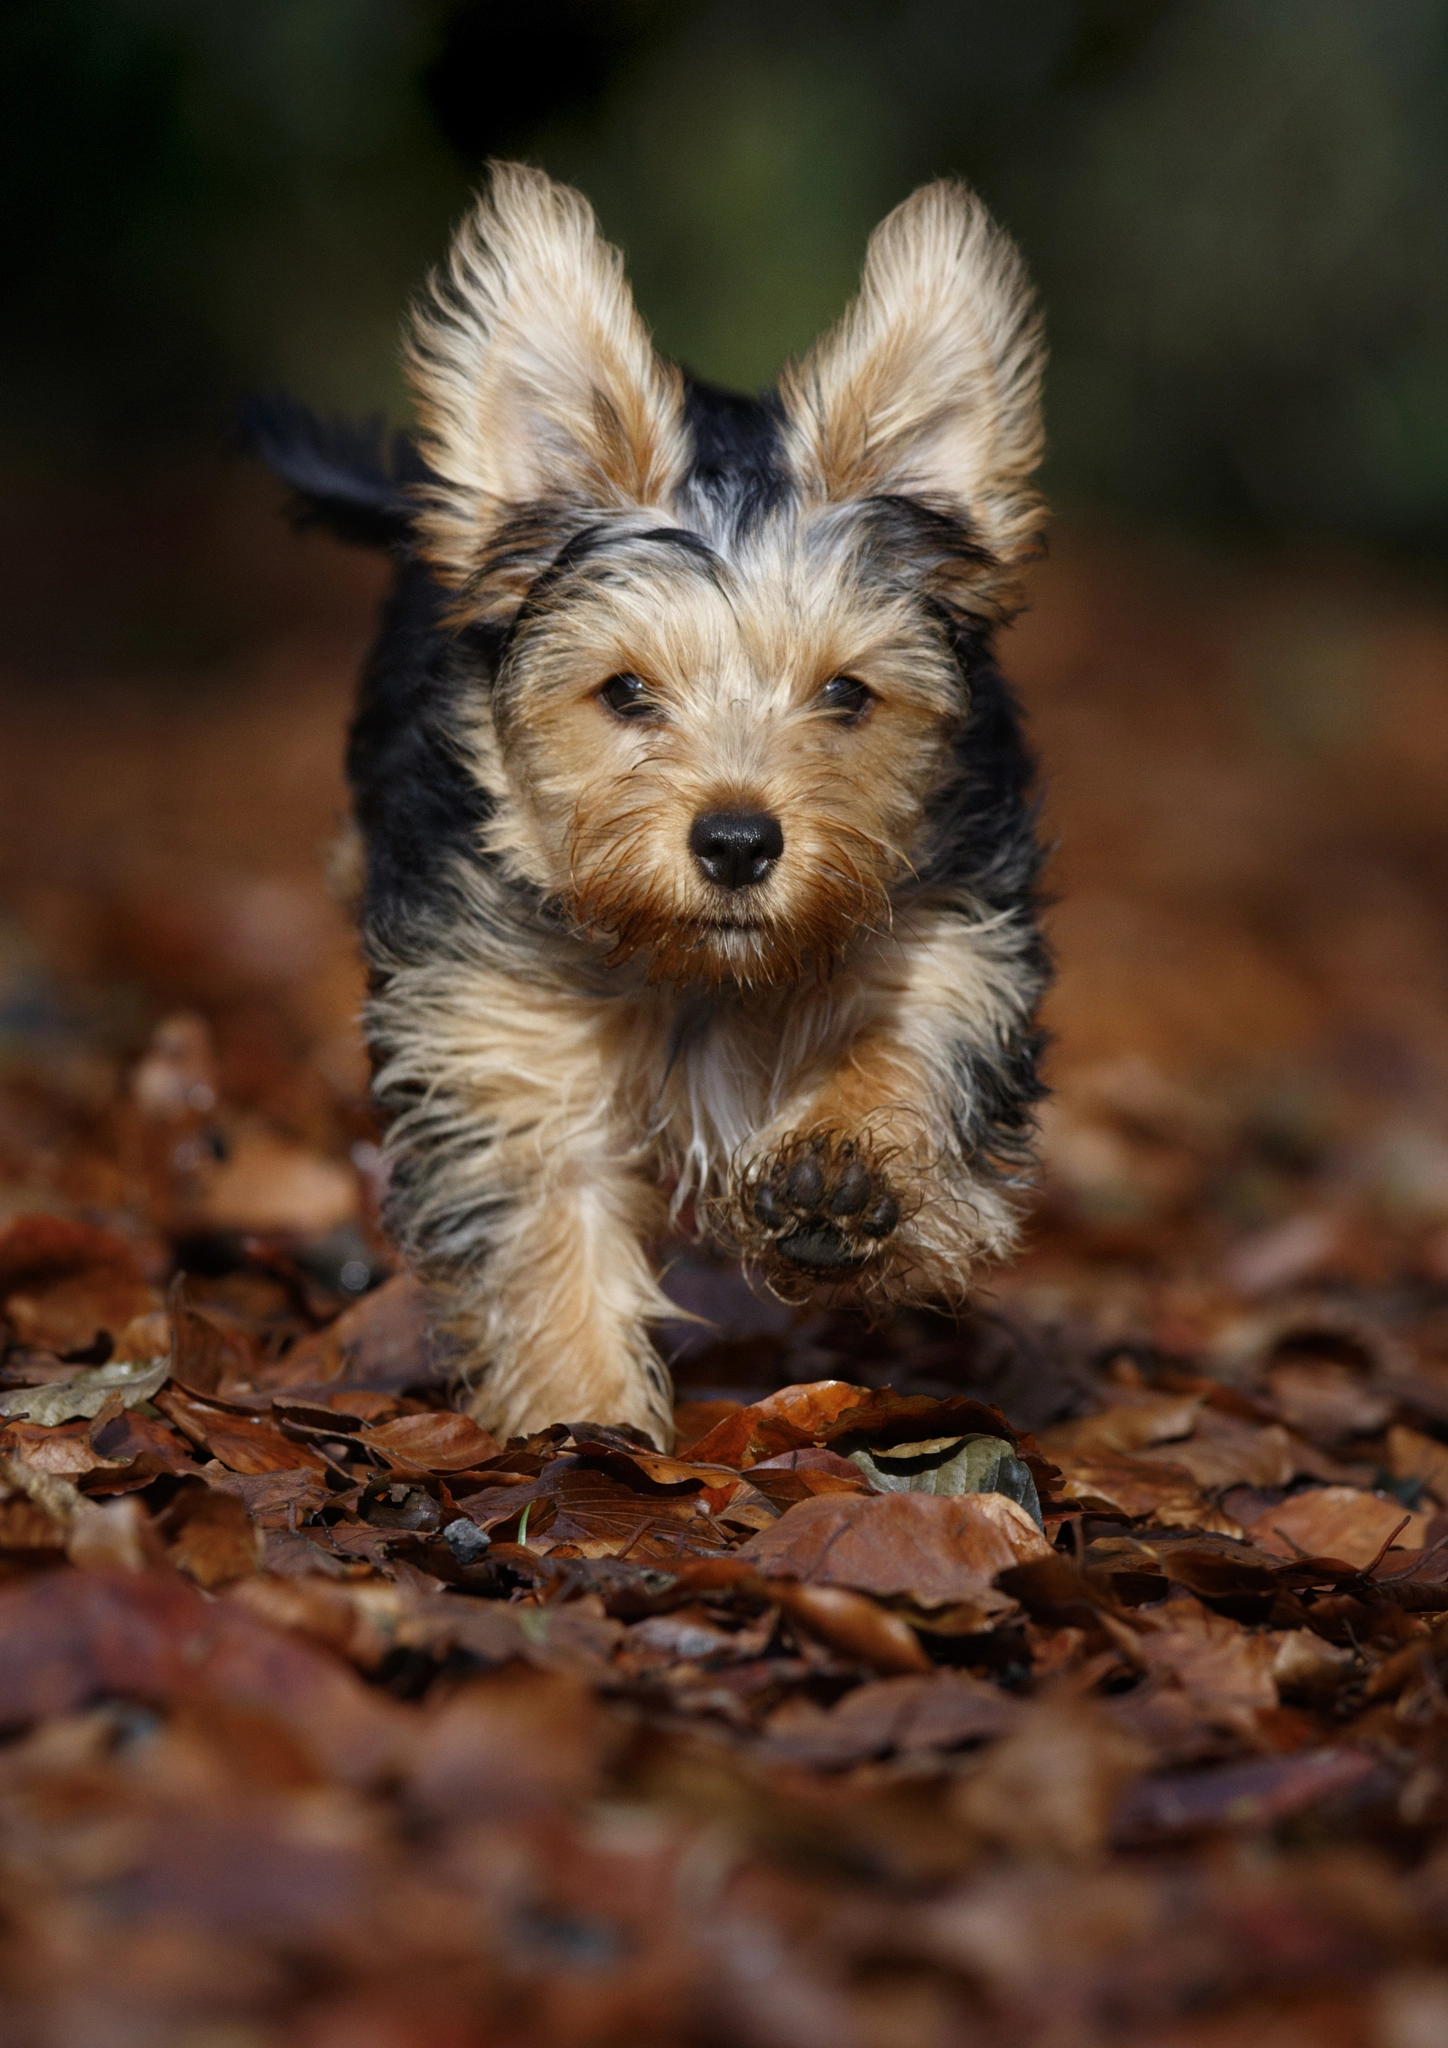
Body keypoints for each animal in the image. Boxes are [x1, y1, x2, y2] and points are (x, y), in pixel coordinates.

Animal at [246, 163, 1040, 1441]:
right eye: (623, 692)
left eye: (846, 693)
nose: (737, 841)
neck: (693, 963)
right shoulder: (501, 1031)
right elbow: (549, 1235)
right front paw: (584, 1424)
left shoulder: (953, 927)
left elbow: (914, 1035)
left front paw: (842, 1166)